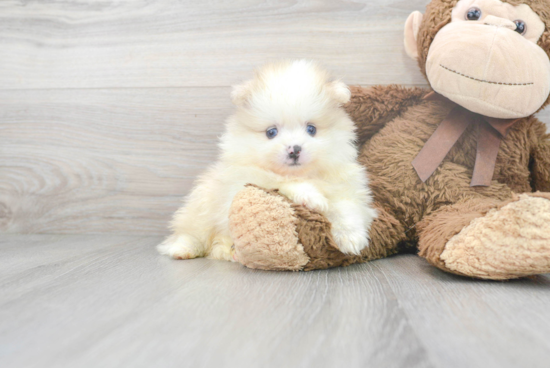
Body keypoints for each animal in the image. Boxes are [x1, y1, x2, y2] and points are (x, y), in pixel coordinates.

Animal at [157, 60, 378, 260]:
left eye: (311, 129)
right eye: (271, 132)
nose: (294, 149)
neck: (304, 174)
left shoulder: (347, 190)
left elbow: (347, 209)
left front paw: (351, 239)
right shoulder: (241, 185)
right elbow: (281, 182)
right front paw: (311, 196)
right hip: (201, 206)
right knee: (192, 232)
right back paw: (183, 249)